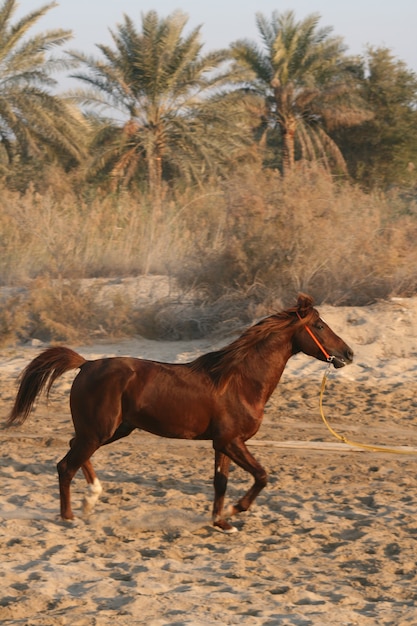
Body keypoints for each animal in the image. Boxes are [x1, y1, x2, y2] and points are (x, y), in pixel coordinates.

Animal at [6, 292, 352, 532]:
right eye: (319, 325)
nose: (348, 354)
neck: (239, 382)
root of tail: (86, 364)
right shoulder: (231, 441)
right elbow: (262, 476)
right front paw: (234, 511)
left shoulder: (223, 443)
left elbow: (220, 482)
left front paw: (220, 522)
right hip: (99, 431)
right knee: (65, 466)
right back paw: (69, 517)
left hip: (111, 430)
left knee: (73, 453)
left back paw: (91, 499)